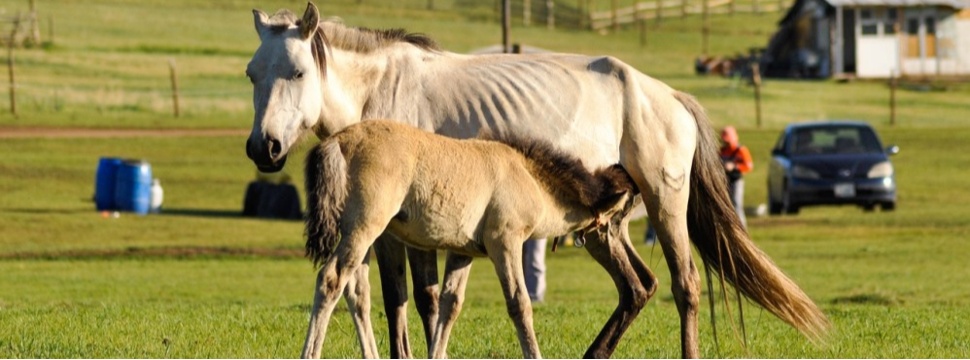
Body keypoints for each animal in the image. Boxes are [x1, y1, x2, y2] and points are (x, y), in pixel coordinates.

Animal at [300, 120, 636, 358]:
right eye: (617, 216)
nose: (622, 245)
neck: (526, 175)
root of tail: (338, 141)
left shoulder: (463, 253)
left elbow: (449, 306)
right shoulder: (505, 243)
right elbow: (519, 304)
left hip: (363, 237)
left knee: (356, 291)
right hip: (364, 228)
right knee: (331, 280)